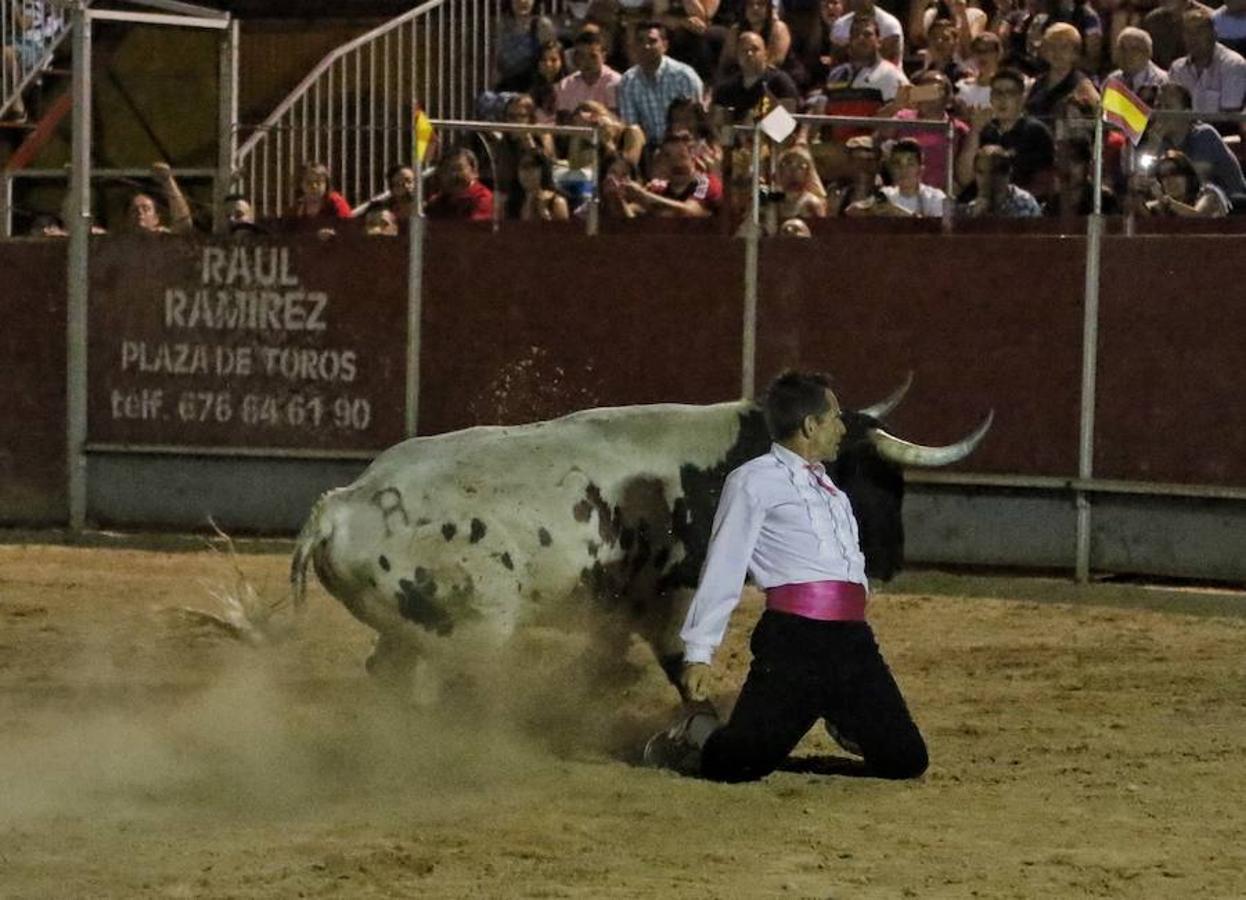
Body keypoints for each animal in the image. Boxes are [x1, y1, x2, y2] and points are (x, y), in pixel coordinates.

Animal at [291, 386, 991, 693]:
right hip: (471, 629)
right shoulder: (672, 599)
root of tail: (342, 505)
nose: (894, 560)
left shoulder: (622, 609)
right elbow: (682, 664)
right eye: (874, 477)